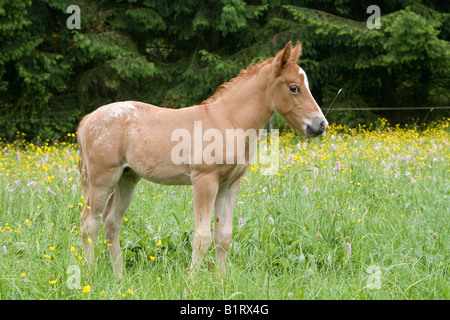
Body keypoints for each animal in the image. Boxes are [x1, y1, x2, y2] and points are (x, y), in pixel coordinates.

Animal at [77, 41, 328, 276]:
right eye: (294, 87)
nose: (320, 125)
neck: (227, 120)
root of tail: (88, 118)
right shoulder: (204, 181)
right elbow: (202, 236)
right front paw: (192, 282)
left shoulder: (229, 185)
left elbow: (223, 235)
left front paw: (221, 280)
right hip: (103, 179)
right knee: (89, 223)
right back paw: (90, 273)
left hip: (127, 178)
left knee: (111, 222)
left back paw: (119, 276)